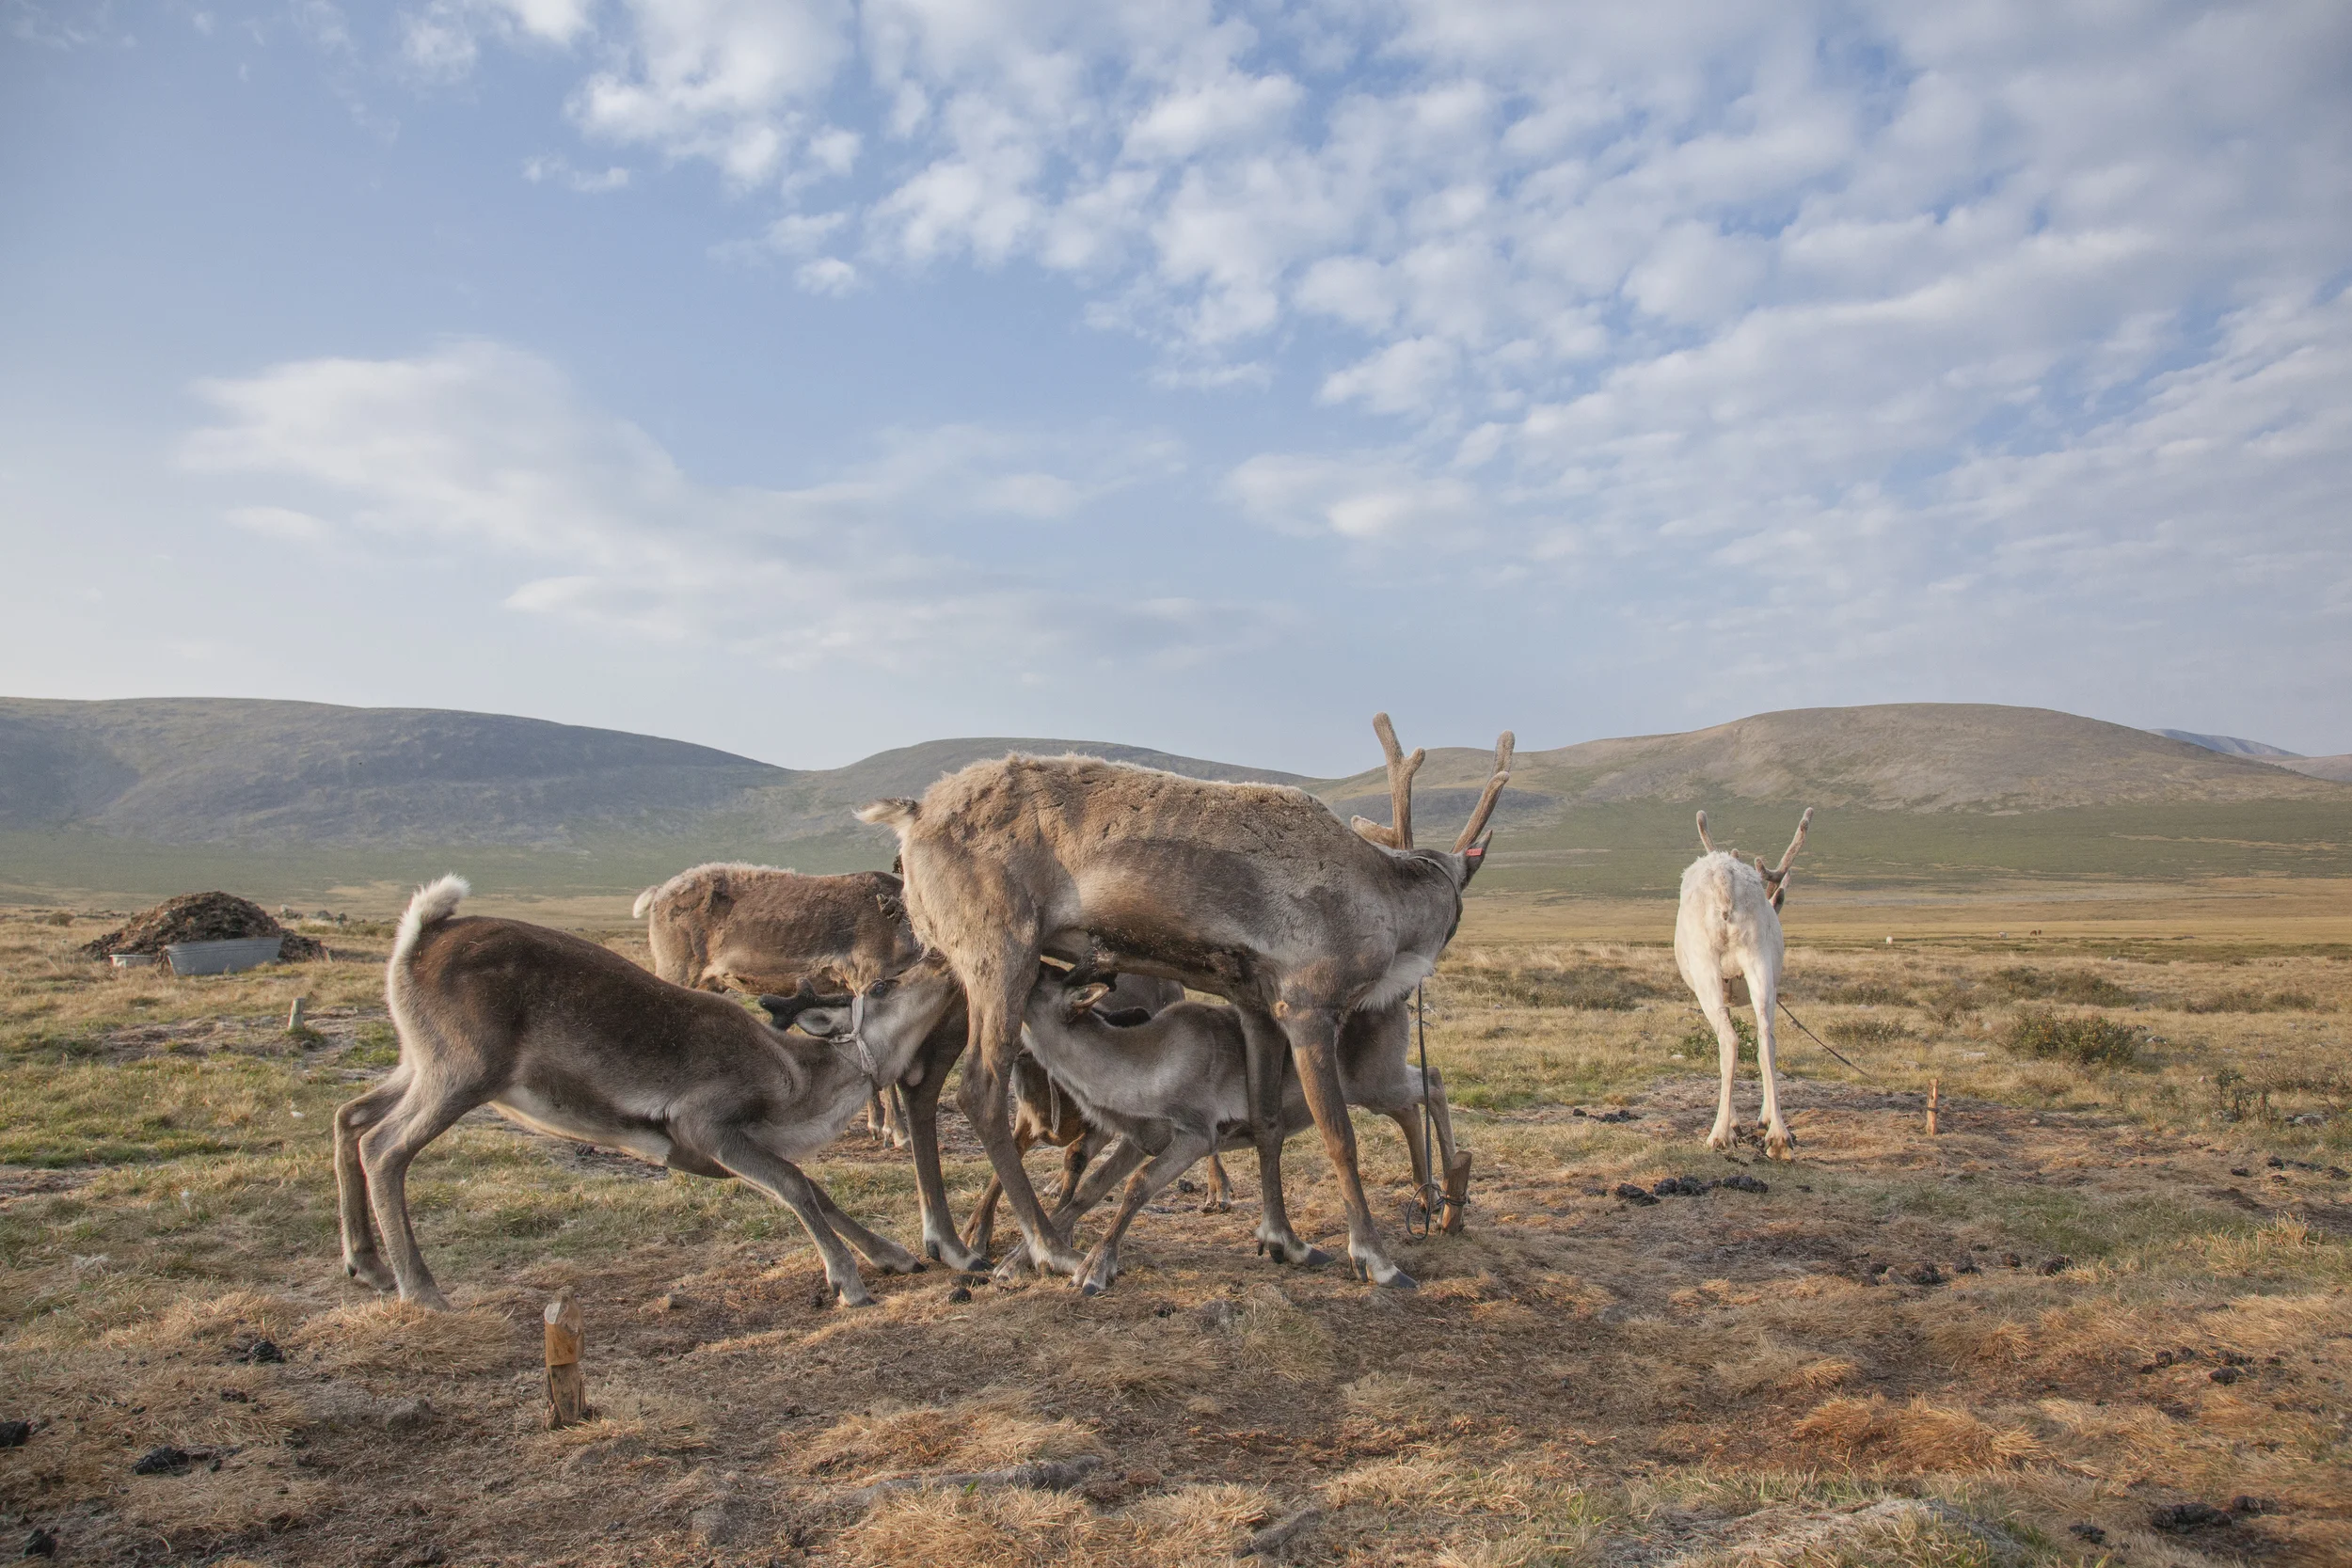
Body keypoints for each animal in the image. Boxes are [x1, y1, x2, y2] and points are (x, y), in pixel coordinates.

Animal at [335, 877, 936, 1310]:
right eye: (882, 985)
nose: (937, 959)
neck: (801, 1084)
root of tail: (418, 936)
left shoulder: (726, 1152)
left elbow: (812, 1188)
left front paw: (890, 1254)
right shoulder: (704, 1123)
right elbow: (794, 1182)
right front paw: (848, 1280)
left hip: (418, 1062)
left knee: (350, 1115)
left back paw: (367, 1264)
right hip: (463, 1072)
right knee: (384, 1148)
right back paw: (422, 1290)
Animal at [854, 714, 1510, 1290]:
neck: (1386, 898)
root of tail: (913, 813)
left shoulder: (1255, 1006)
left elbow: (1268, 1122)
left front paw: (1284, 1240)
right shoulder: (1307, 1007)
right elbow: (1338, 1136)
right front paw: (1375, 1258)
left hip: (950, 967)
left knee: (922, 1084)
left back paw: (951, 1243)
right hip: (1001, 955)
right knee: (979, 1091)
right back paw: (1046, 1248)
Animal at [1675, 808, 1814, 1160]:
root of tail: (1725, 880)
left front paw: (1735, 1123)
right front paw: (1760, 1120)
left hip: (1706, 965)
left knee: (1729, 1039)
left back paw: (1719, 1135)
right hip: (1759, 958)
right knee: (1766, 1037)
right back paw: (1779, 1136)